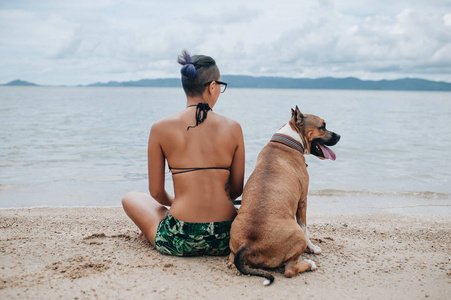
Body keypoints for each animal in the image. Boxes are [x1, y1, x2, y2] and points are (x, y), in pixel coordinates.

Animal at [228, 106, 340, 286]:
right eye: (323, 126)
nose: (339, 136)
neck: (289, 140)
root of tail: (249, 244)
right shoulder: (302, 202)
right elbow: (305, 227)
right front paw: (312, 248)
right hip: (296, 237)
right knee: (290, 270)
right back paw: (309, 264)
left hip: (234, 249)